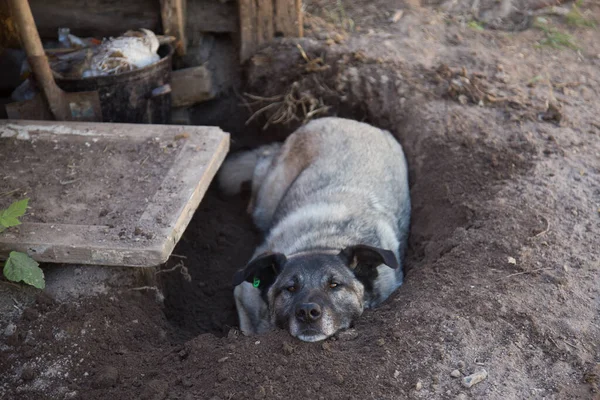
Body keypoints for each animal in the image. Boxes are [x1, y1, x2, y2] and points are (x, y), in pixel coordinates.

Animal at [220, 117, 412, 342]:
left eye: (334, 285)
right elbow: (250, 326)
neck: (324, 242)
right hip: (267, 202)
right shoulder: (243, 292)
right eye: (290, 288)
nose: (307, 313)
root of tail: (355, 122)